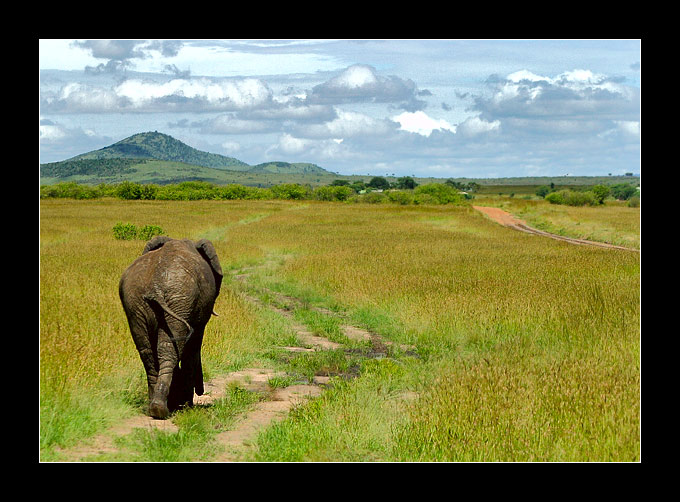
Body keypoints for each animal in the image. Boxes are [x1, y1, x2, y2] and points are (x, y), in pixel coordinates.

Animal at [118, 237, 222, 418]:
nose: (201, 391)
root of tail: (156, 286)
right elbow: (193, 347)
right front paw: (186, 406)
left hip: (137, 302)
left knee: (147, 352)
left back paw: (155, 408)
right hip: (180, 299)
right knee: (169, 348)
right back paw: (165, 409)